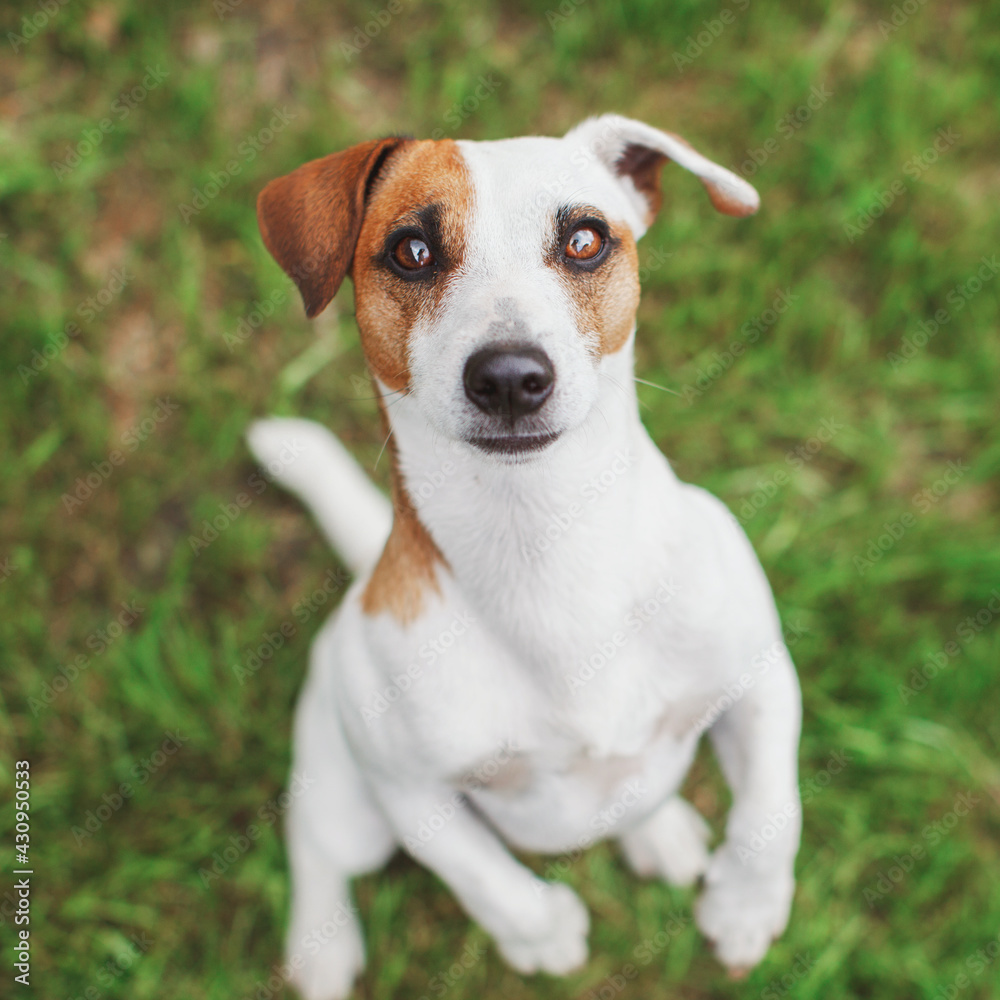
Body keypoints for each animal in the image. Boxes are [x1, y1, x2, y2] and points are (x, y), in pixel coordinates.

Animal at [246, 115, 800, 1000]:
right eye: (411, 250)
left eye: (584, 240)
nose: (509, 376)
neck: (545, 537)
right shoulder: (411, 794)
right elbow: (484, 877)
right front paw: (542, 935)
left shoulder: (760, 678)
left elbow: (774, 811)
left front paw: (746, 906)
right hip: (348, 800)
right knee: (317, 848)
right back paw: (320, 948)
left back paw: (660, 831)